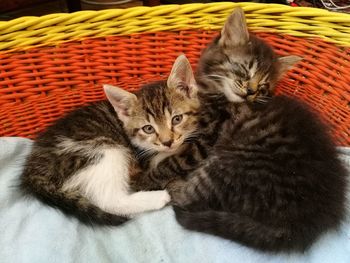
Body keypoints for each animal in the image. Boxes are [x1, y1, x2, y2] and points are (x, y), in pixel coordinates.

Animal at [19, 57, 200, 227]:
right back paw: (158, 197)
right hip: (103, 150)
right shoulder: (144, 159)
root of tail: (34, 167)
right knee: (109, 200)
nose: (167, 141)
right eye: (148, 128)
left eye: (177, 119)